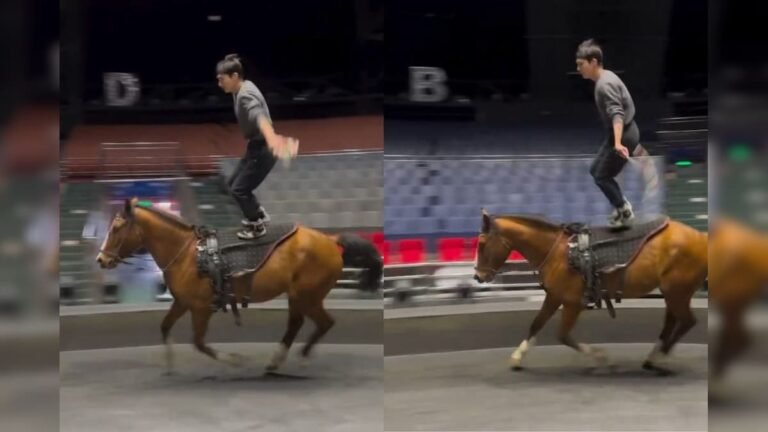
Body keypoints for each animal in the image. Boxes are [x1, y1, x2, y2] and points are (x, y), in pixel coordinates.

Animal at [96, 198, 383, 373]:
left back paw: (298, 358)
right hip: (298, 296)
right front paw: (169, 363)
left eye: (117, 227)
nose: (101, 259)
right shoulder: (182, 303)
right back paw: (276, 361)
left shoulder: (200, 308)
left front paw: (235, 360)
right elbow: (165, 327)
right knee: (297, 324)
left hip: (307, 296)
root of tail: (330, 240)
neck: (189, 253)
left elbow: (199, 342)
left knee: (323, 323)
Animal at [473, 210, 707, 373]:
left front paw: (599, 357)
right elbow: (536, 324)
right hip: (672, 293)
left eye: (482, 243)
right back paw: (654, 356)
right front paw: (517, 356)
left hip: (677, 292)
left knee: (687, 321)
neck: (560, 252)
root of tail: (700, 237)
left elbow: (563, 335)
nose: (478, 276)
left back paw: (660, 358)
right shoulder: (554, 296)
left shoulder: (572, 303)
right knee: (672, 323)